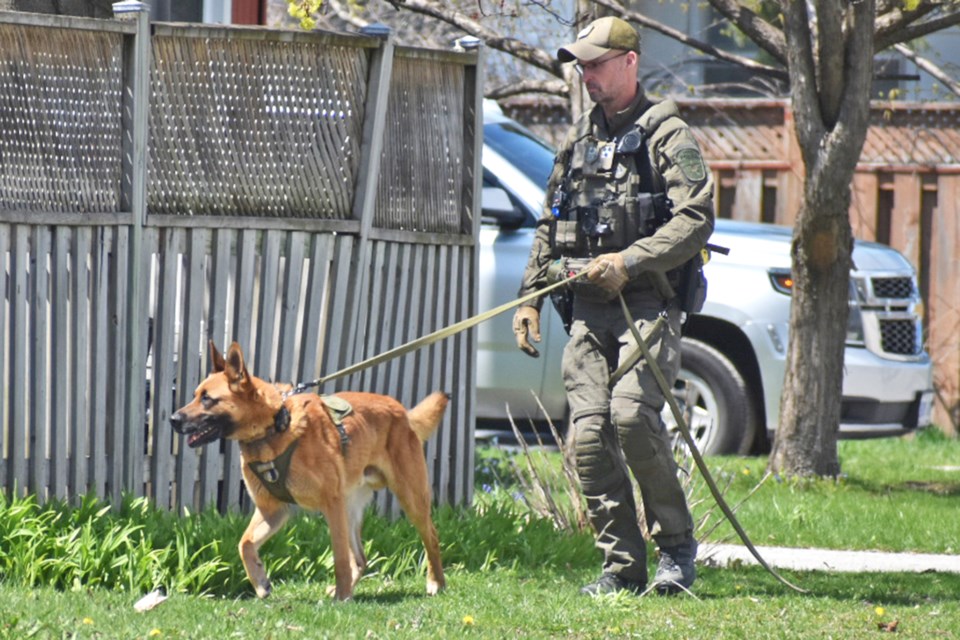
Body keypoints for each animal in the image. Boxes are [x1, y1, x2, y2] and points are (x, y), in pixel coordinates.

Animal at [170, 342, 450, 604]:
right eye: (195, 395)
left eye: (207, 399)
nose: (173, 419)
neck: (274, 426)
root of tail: (402, 412)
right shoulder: (272, 510)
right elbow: (245, 543)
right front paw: (260, 582)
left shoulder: (330, 505)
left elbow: (338, 557)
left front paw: (342, 598)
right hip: (349, 508)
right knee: (360, 558)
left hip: (409, 498)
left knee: (431, 537)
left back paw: (435, 583)